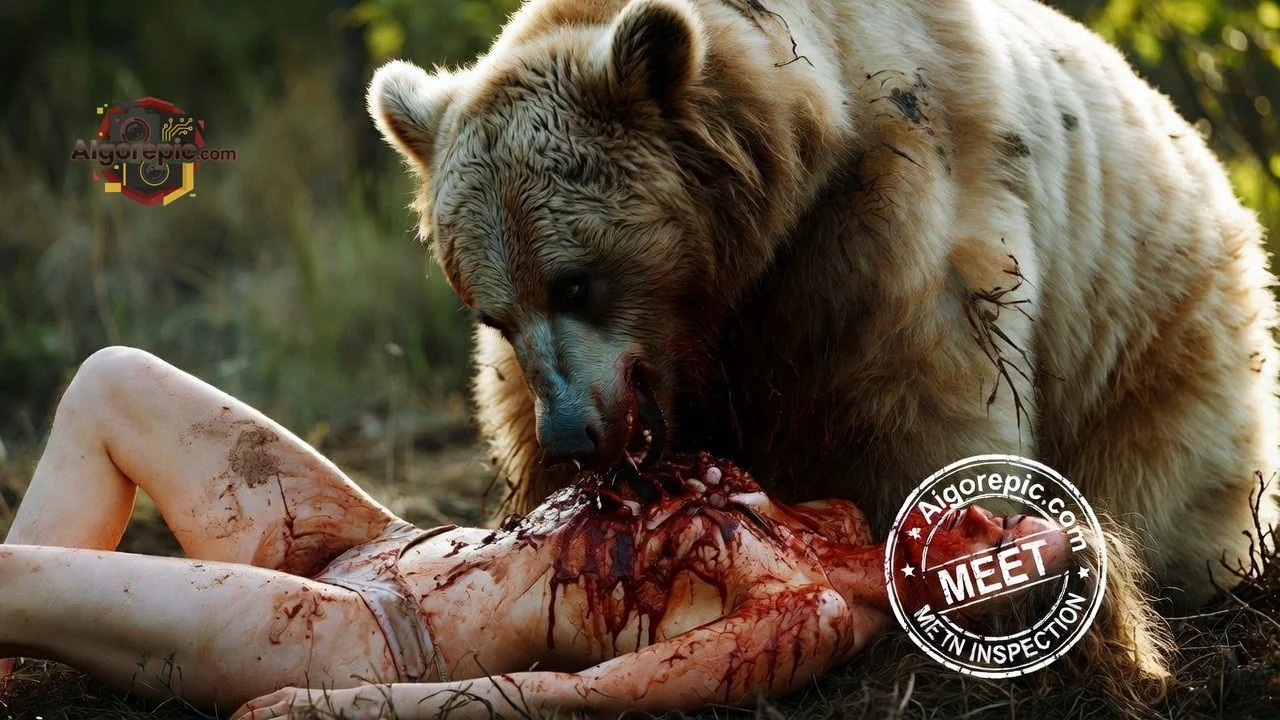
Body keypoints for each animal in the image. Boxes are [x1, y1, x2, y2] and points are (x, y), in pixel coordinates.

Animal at [367, 0, 1278, 691]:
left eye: (575, 284)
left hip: (1150, 326)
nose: (573, 433)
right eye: (493, 313)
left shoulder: (881, 227)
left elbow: (919, 403)